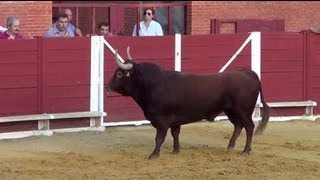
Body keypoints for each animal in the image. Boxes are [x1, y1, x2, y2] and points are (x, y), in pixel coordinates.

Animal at [107, 46, 270, 159]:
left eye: (119, 73)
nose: (107, 86)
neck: (150, 84)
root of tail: (248, 73)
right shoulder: (174, 120)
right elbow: (175, 134)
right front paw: (175, 150)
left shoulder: (162, 120)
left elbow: (159, 138)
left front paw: (154, 154)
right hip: (231, 111)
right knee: (238, 126)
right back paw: (230, 147)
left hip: (243, 111)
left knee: (249, 127)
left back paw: (246, 150)